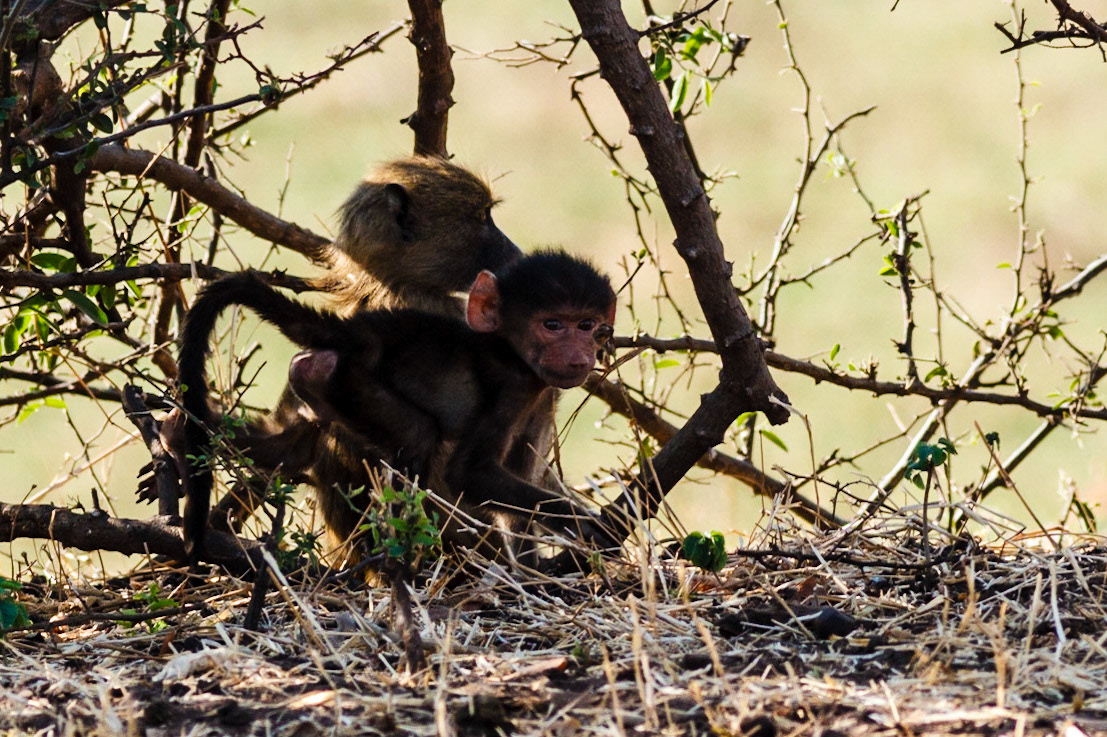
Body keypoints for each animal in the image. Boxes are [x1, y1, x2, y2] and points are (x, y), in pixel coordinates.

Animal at [177, 250, 617, 566]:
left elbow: (515, 500)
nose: (579, 355)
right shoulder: (510, 388)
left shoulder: (541, 400)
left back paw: (176, 432)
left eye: (587, 325)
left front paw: (530, 572)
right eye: (552, 325)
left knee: (290, 445)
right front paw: (589, 527)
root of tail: (354, 331)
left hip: (313, 381)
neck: (511, 351)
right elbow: (469, 473)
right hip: (353, 380)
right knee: (418, 436)